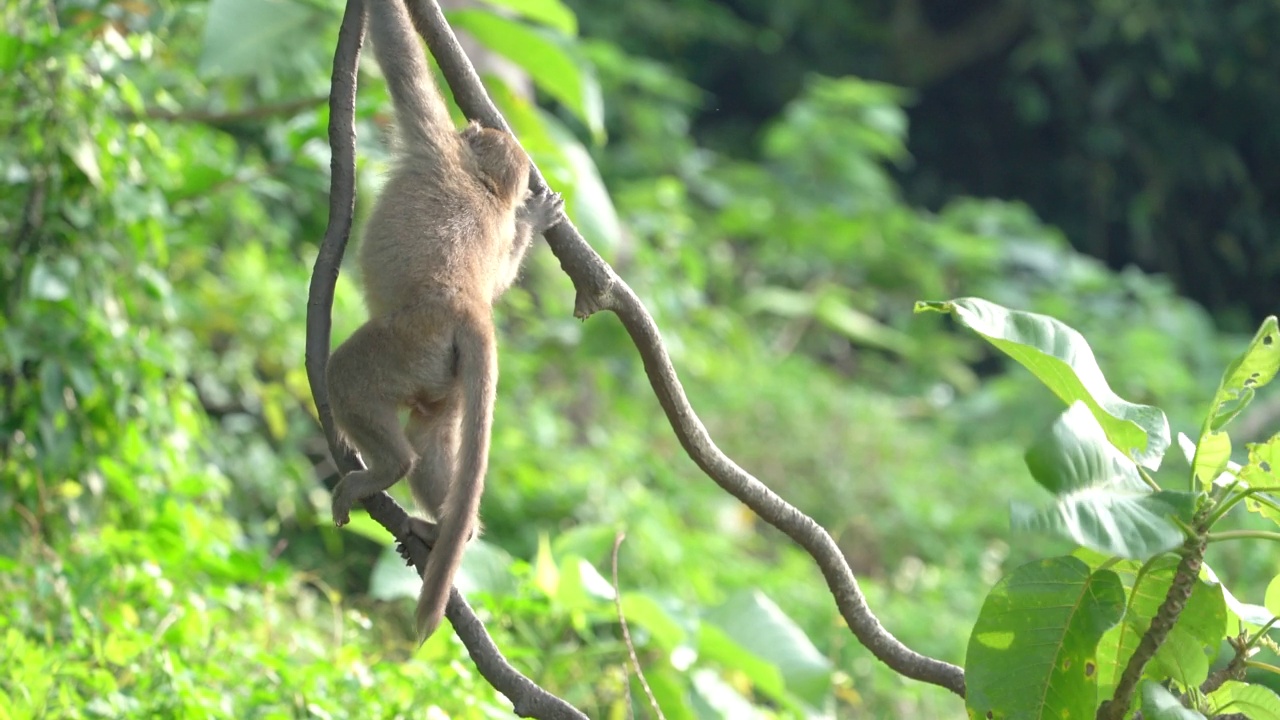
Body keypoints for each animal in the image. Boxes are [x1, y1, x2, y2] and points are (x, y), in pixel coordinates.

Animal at [325, 0, 560, 640]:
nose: (471, 130)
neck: (483, 186)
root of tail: (466, 309)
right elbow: (504, 270)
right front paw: (533, 221)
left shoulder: (432, 139)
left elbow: (403, 62)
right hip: (444, 370)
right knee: (430, 438)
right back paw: (450, 528)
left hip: (411, 341)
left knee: (347, 380)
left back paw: (384, 470)